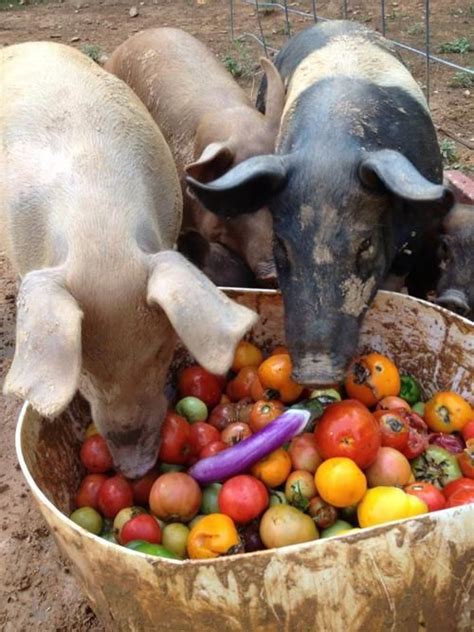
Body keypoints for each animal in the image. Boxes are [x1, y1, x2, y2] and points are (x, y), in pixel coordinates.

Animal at [186, 19, 456, 382]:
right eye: (281, 243)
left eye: (366, 244)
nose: (317, 372)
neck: (330, 149)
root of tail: (332, 22)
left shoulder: (418, 230)